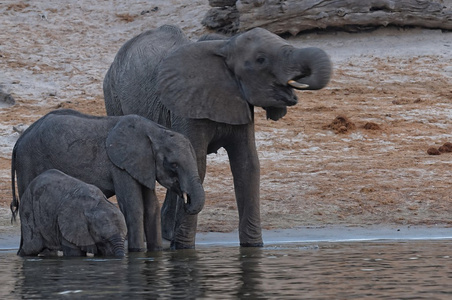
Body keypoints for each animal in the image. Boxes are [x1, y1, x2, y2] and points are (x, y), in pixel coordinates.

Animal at [10, 109, 205, 252]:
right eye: (173, 164)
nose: (187, 201)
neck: (155, 131)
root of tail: (19, 140)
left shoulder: (143, 165)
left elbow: (151, 208)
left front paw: (155, 252)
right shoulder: (119, 165)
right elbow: (134, 207)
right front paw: (137, 252)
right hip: (28, 162)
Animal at [103, 24, 332, 248]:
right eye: (261, 60)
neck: (225, 46)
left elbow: (247, 166)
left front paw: (253, 247)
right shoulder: (186, 107)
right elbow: (197, 165)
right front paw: (183, 248)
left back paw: (167, 234)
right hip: (112, 94)